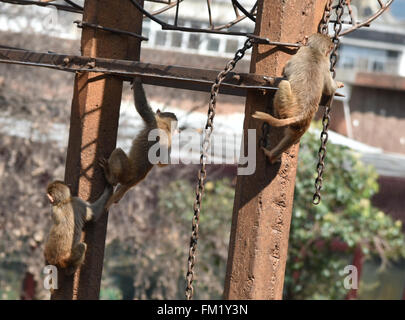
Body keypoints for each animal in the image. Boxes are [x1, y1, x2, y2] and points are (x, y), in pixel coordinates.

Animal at [99, 77, 177, 208]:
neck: (166, 127)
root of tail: (136, 178)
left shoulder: (152, 121)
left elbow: (142, 107)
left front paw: (137, 81)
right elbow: (164, 163)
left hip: (127, 173)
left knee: (118, 152)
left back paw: (111, 179)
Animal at [251, 33, 342, 164]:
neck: (315, 50)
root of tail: (301, 114)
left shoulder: (301, 53)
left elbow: (286, 70)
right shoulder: (327, 64)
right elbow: (330, 88)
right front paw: (338, 84)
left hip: (286, 105)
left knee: (284, 84)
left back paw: (276, 114)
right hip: (303, 123)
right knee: (293, 136)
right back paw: (272, 156)